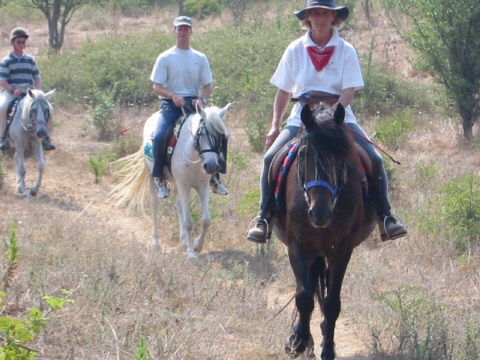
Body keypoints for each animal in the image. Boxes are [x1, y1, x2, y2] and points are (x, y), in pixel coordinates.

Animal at [110, 104, 231, 258]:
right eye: (201, 134)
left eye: (221, 136)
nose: (211, 166)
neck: (193, 155)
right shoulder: (183, 185)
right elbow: (188, 222)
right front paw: (191, 253)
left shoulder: (202, 186)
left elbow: (206, 220)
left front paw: (197, 245)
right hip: (151, 176)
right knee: (154, 205)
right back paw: (156, 243)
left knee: (179, 205)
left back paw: (183, 241)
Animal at [272, 102, 376, 358]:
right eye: (302, 155)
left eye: (341, 158)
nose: (320, 214)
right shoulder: (297, 246)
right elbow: (304, 297)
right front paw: (298, 342)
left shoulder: (342, 250)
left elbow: (331, 302)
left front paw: (327, 348)